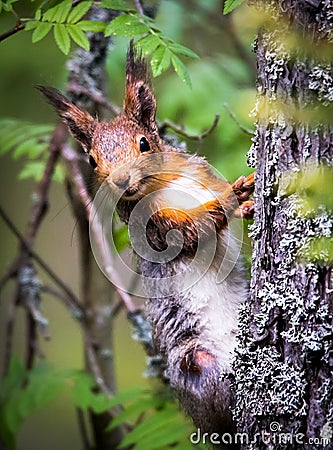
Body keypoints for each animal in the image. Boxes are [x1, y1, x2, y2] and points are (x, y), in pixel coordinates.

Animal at [38, 42, 252, 442]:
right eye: (92, 161)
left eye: (144, 143)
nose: (122, 181)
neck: (164, 185)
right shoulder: (158, 230)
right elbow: (194, 231)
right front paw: (232, 198)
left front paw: (244, 190)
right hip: (195, 362)